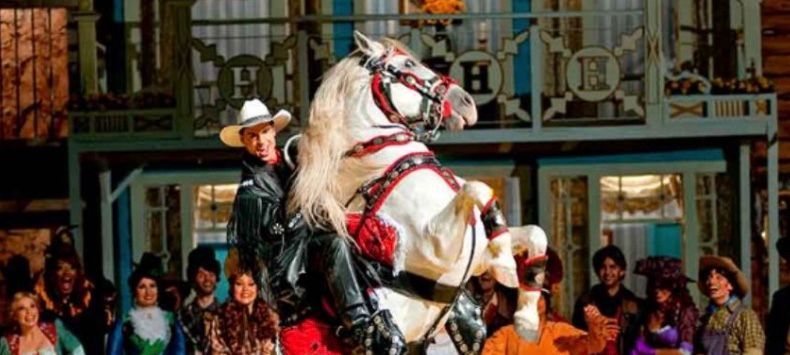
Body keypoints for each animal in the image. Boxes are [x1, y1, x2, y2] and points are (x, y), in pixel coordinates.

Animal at [290, 31, 552, 350]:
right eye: (407, 64)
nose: (467, 102)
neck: (382, 167)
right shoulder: (436, 246)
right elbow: (476, 189)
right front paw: (506, 264)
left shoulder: (476, 255)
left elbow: (533, 233)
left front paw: (526, 319)